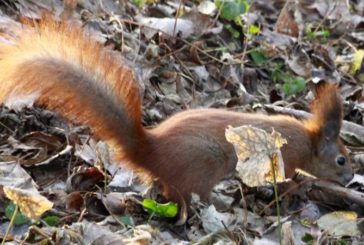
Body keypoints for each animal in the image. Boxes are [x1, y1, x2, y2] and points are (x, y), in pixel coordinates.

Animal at [0, 19, 352, 204]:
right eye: (341, 160)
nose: (350, 178)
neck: (308, 141)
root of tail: (150, 150)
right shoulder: (284, 159)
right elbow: (286, 180)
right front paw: (297, 189)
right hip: (203, 163)